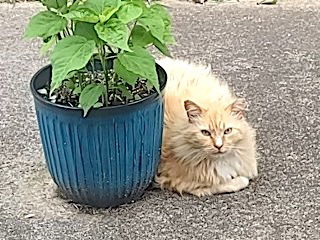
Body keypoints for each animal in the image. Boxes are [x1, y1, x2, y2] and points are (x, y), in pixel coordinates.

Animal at [155, 58, 258, 197]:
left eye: (227, 131)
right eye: (205, 133)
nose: (219, 146)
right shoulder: (183, 182)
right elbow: (231, 183)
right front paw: (239, 179)